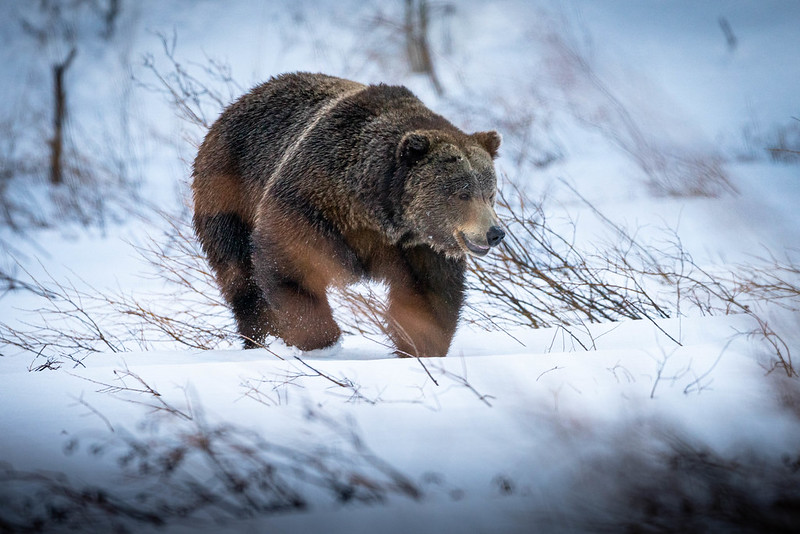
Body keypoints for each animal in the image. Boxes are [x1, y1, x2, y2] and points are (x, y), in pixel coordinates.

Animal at [193, 73, 504, 358]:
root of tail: (234, 106)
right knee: (240, 275)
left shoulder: (418, 245)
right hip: (229, 189)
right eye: (462, 194)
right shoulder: (313, 199)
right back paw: (258, 338)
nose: (495, 233)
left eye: (490, 193)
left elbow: (429, 292)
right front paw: (321, 341)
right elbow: (291, 262)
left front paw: (418, 348)